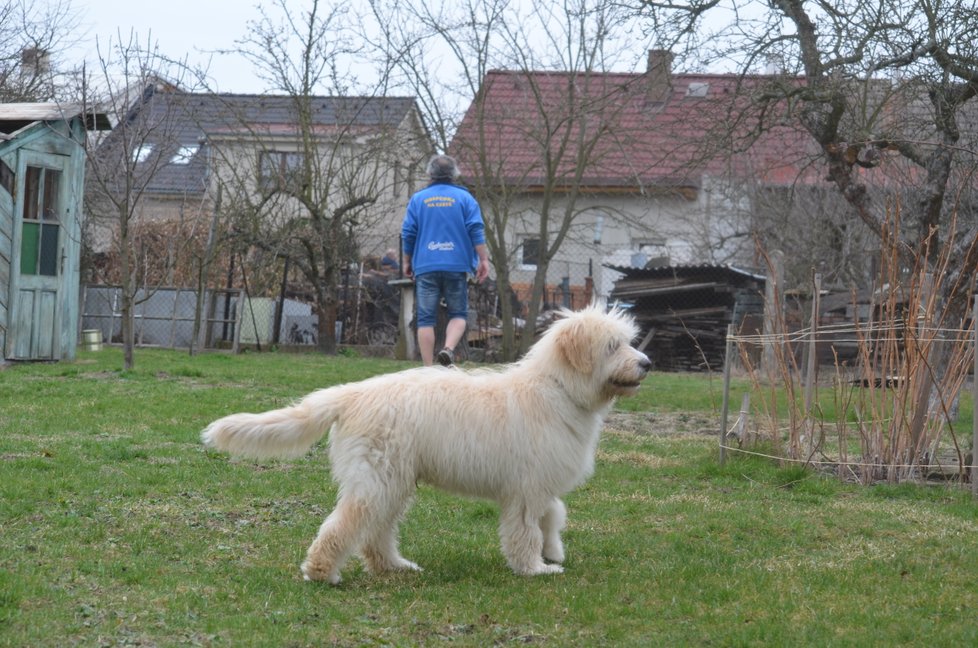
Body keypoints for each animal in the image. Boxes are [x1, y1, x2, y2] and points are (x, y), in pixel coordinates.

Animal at [199, 306, 648, 584]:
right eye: (612, 346)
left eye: (628, 341)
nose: (646, 364)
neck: (557, 389)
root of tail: (352, 394)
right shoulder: (526, 488)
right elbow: (525, 530)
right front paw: (533, 568)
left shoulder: (539, 484)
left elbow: (554, 514)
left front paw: (553, 550)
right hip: (378, 478)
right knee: (345, 525)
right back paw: (322, 572)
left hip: (393, 481)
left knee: (375, 533)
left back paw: (394, 567)